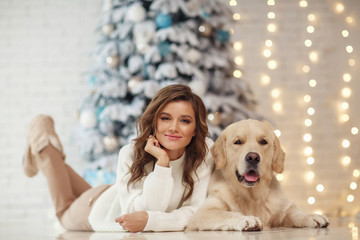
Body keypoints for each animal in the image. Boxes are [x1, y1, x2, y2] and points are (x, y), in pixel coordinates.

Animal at [187, 119, 330, 231]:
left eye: (263, 141)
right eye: (238, 142)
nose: (253, 157)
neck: (252, 196)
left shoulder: (283, 208)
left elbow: (295, 212)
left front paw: (312, 217)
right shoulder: (204, 212)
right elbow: (227, 214)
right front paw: (247, 219)